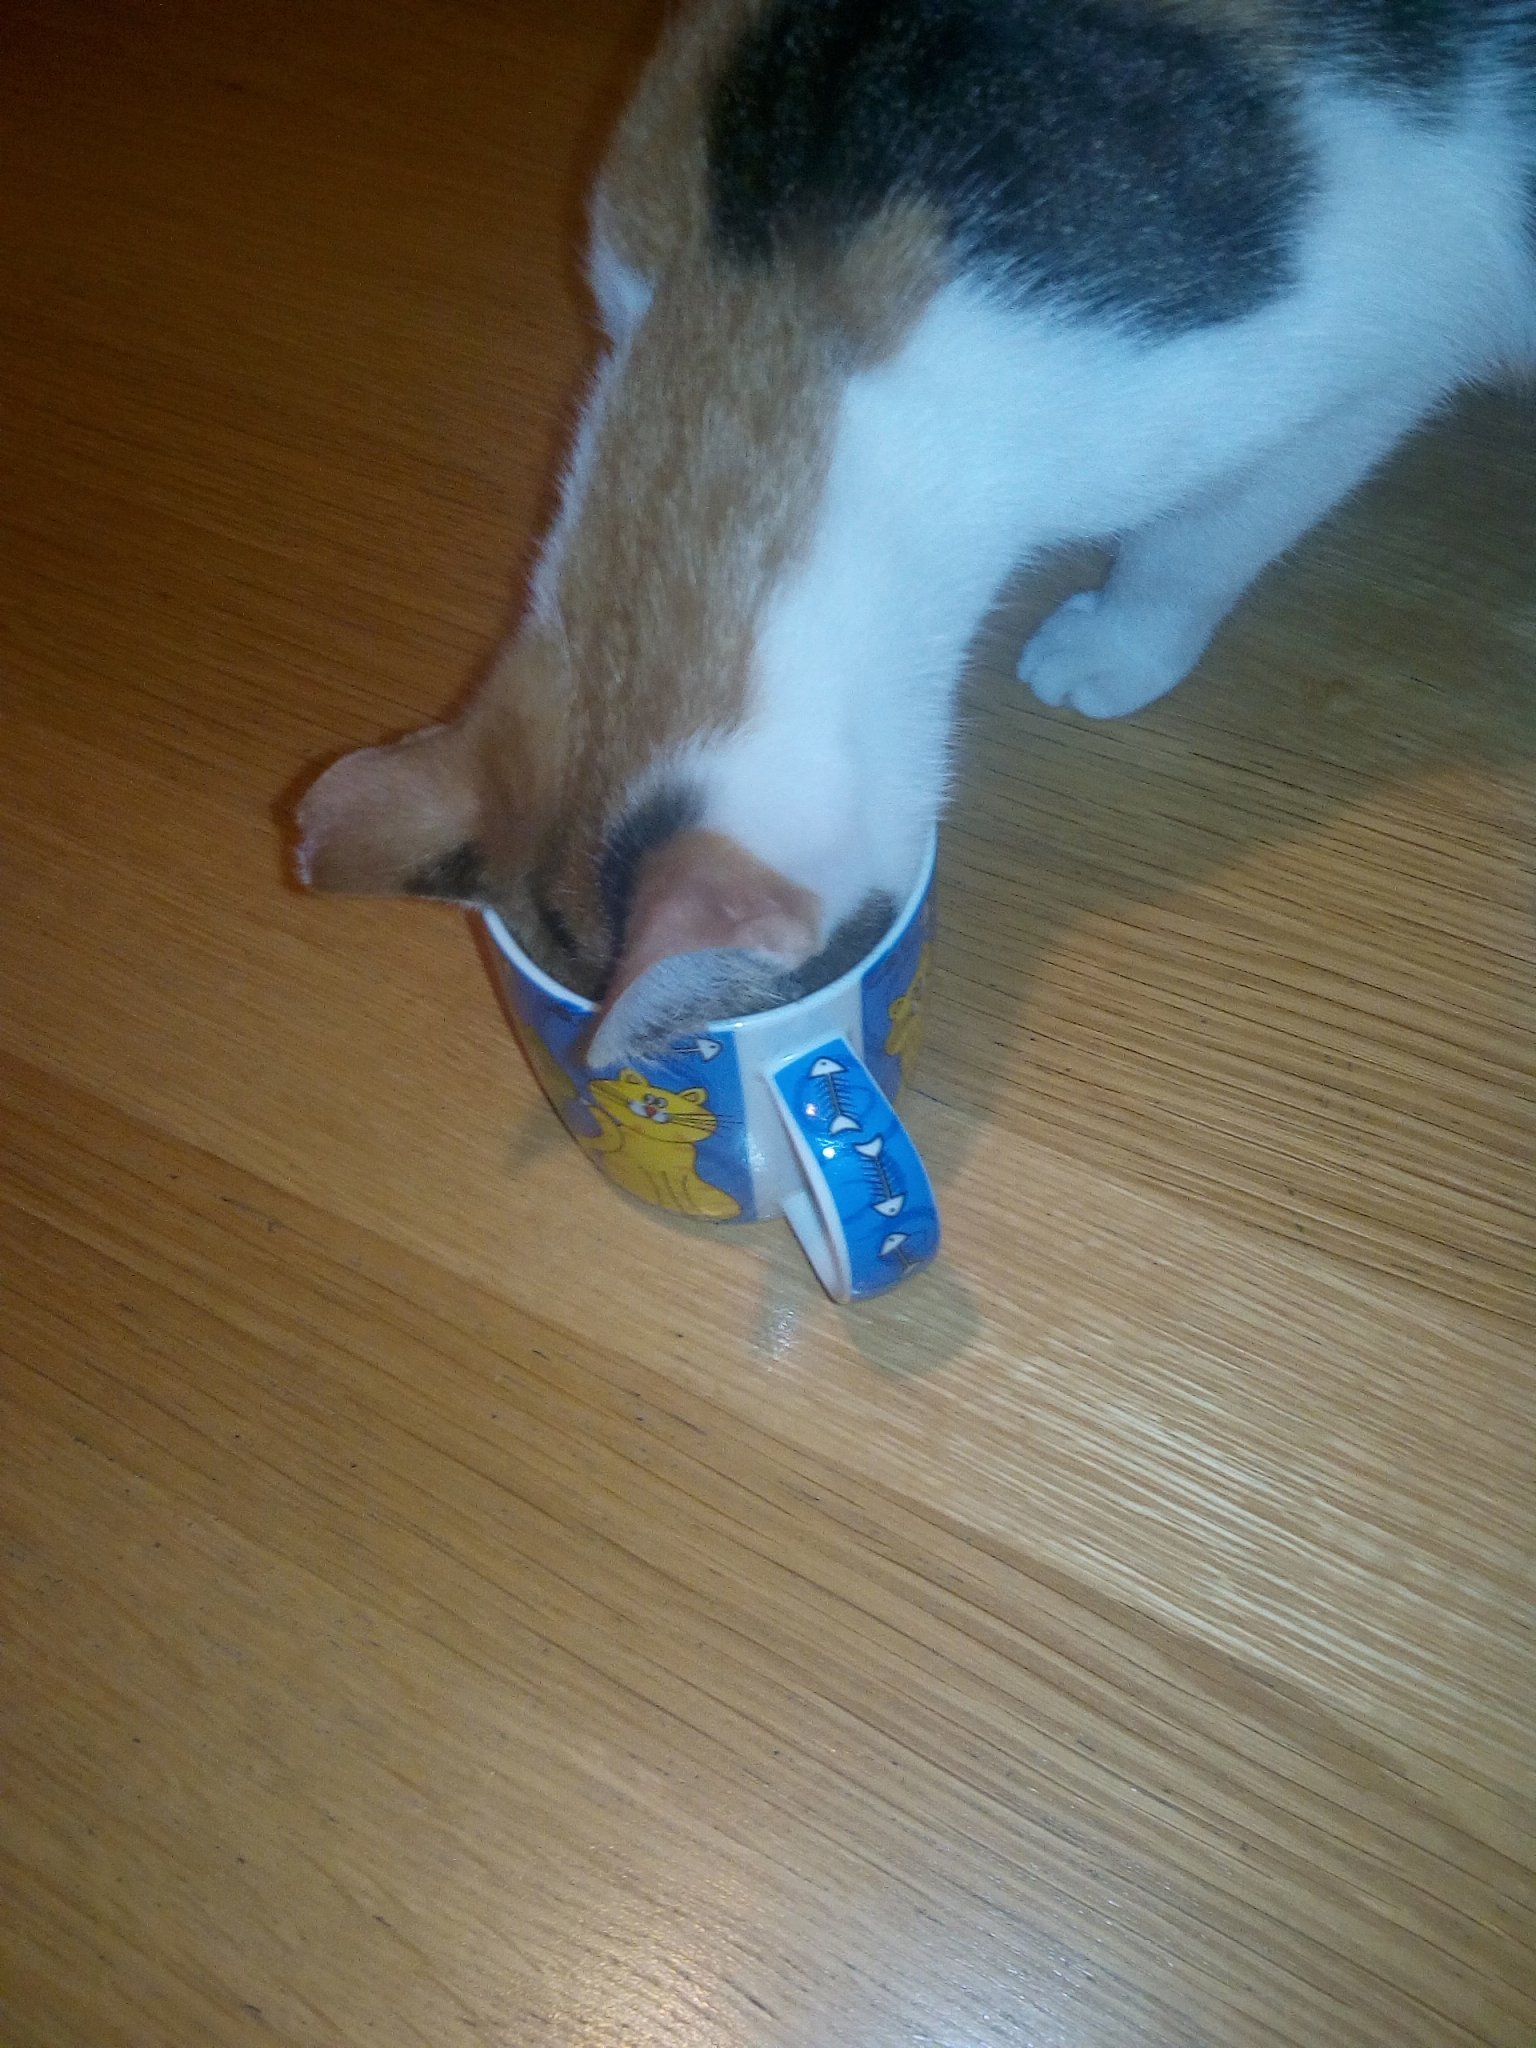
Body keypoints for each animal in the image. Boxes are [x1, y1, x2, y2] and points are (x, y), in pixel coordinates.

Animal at [581, 1071, 741, 1218]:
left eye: (662, 1103)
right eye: (647, 1098)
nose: (651, 1109)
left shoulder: (679, 1174)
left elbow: (679, 1193)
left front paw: (682, 1204)